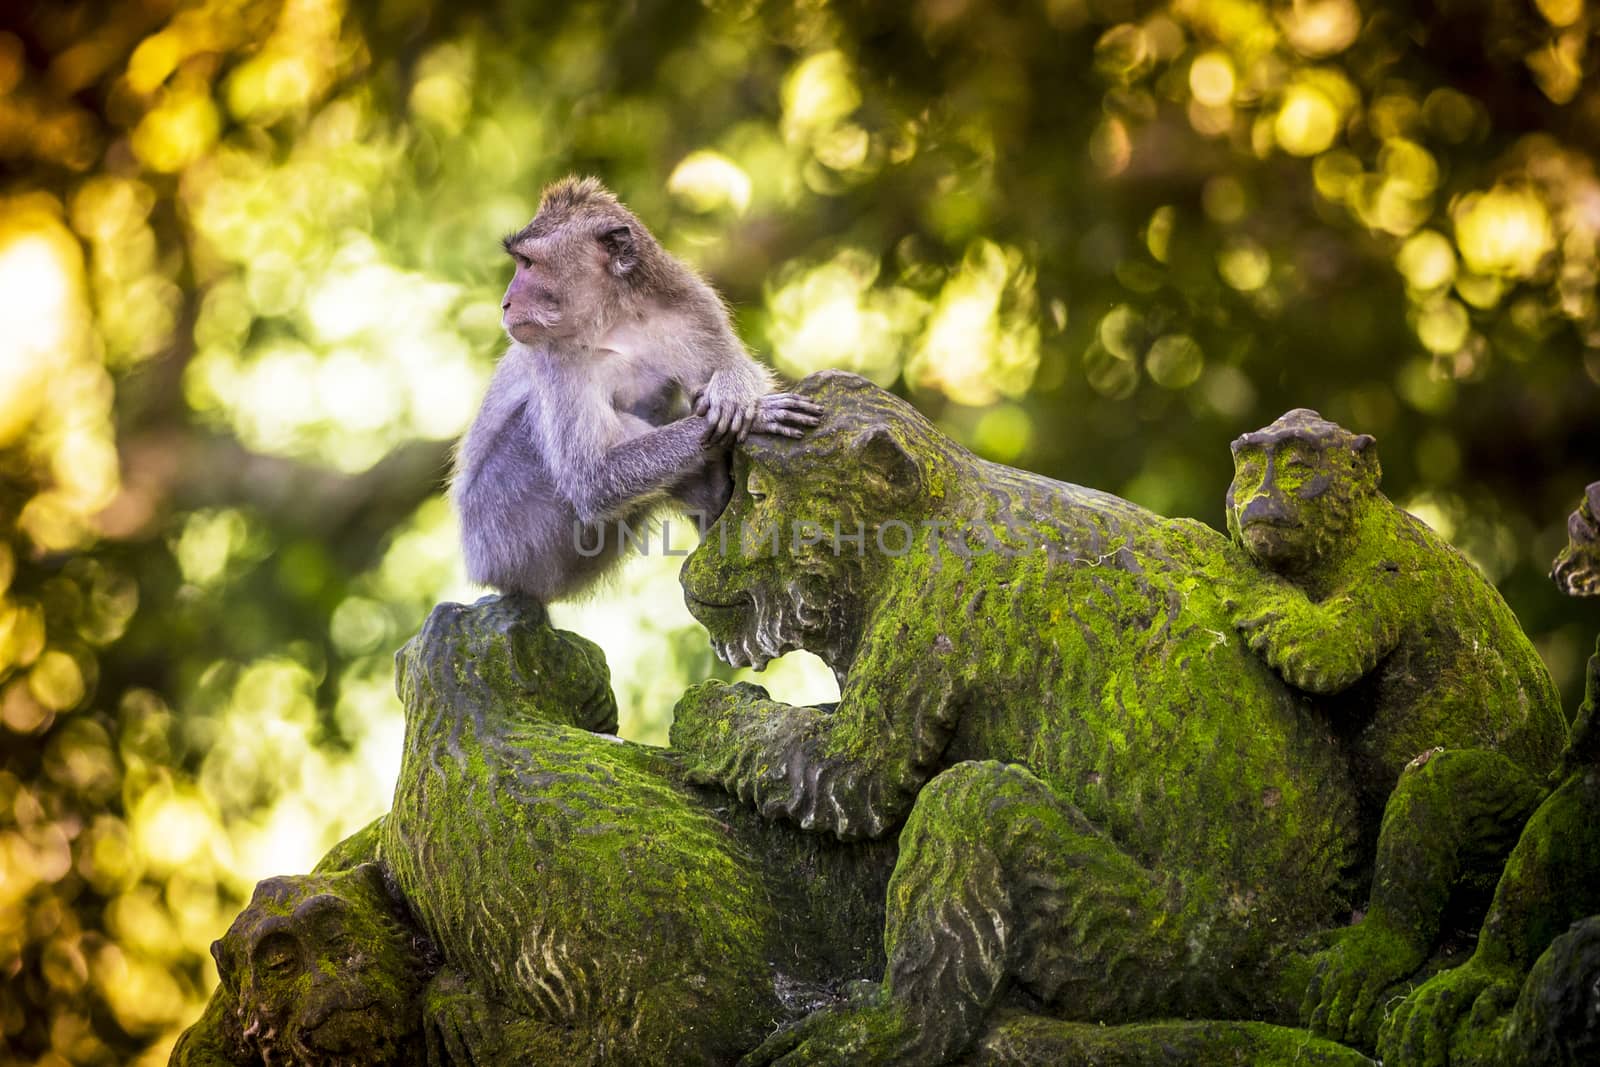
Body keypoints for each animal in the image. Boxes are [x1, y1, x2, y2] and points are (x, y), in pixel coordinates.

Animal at [454, 179, 819, 604]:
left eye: (528, 263)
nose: (506, 303)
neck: (614, 319)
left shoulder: (691, 304)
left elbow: (729, 364)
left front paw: (735, 392)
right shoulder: (552, 356)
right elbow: (591, 478)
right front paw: (758, 411)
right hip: (509, 529)